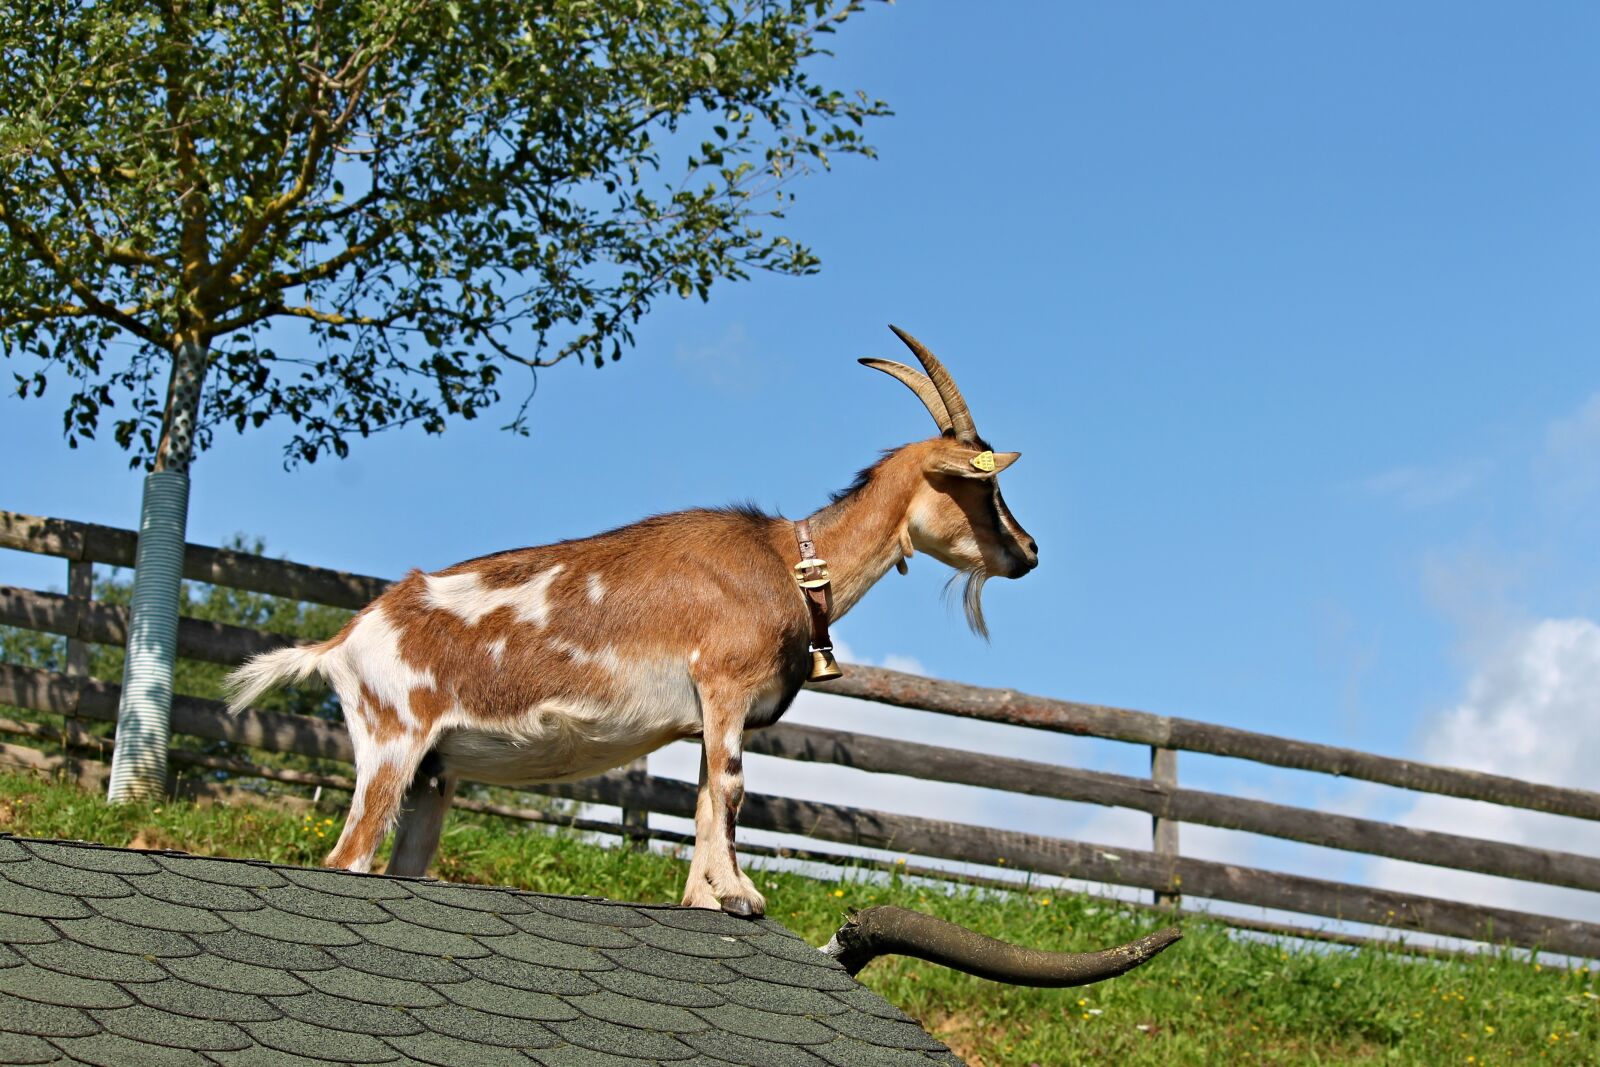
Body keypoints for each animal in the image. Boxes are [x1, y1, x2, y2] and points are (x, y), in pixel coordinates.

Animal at [226, 326, 1038, 915]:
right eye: (984, 486)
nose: (1028, 551)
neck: (787, 562)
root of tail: (344, 639)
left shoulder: (713, 711)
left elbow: (707, 797)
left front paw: (707, 898)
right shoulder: (723, 682)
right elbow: (733, 788)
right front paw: (743, 893)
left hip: (433, 771)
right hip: (391, 738)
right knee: (346, 858)